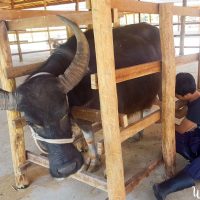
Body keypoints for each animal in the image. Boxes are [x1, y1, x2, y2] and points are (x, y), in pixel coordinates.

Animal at [0, 16, 161, 178]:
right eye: (30, 122)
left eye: (64, 113)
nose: (67, 168)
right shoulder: (80, 117)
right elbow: (89, 136)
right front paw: (94, 161)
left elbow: (110, 142)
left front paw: (109, 171)